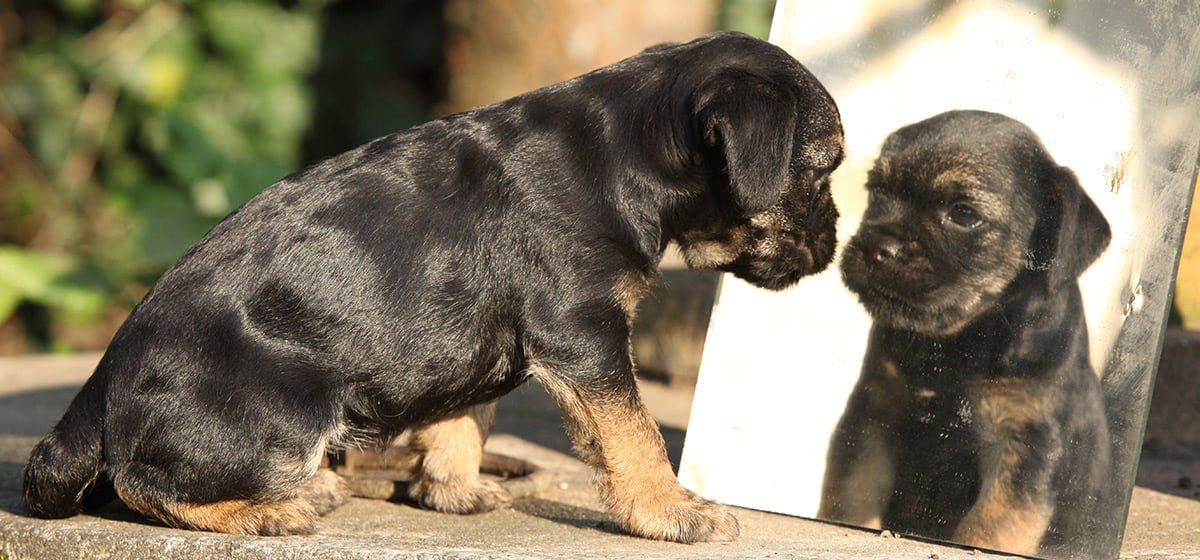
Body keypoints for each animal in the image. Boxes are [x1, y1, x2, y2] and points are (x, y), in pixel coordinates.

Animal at [21, 32, 844, 546]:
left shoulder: (482, 337)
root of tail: (102, 381)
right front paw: (671, 511)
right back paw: (278, 508)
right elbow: (634, 435)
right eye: (823, 169)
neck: (627, 151)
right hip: (287, 414)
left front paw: (451, 490)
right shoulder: (586, 336)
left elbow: (462, 414)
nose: (836, 246)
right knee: (141, 482)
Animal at [820, 111, 1108, 558]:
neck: (960, 347)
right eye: (876, 190)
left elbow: (986, 530)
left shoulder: (1024, 450)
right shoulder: (873, 416)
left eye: (964, 214)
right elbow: (850, 497)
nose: (877, 248)